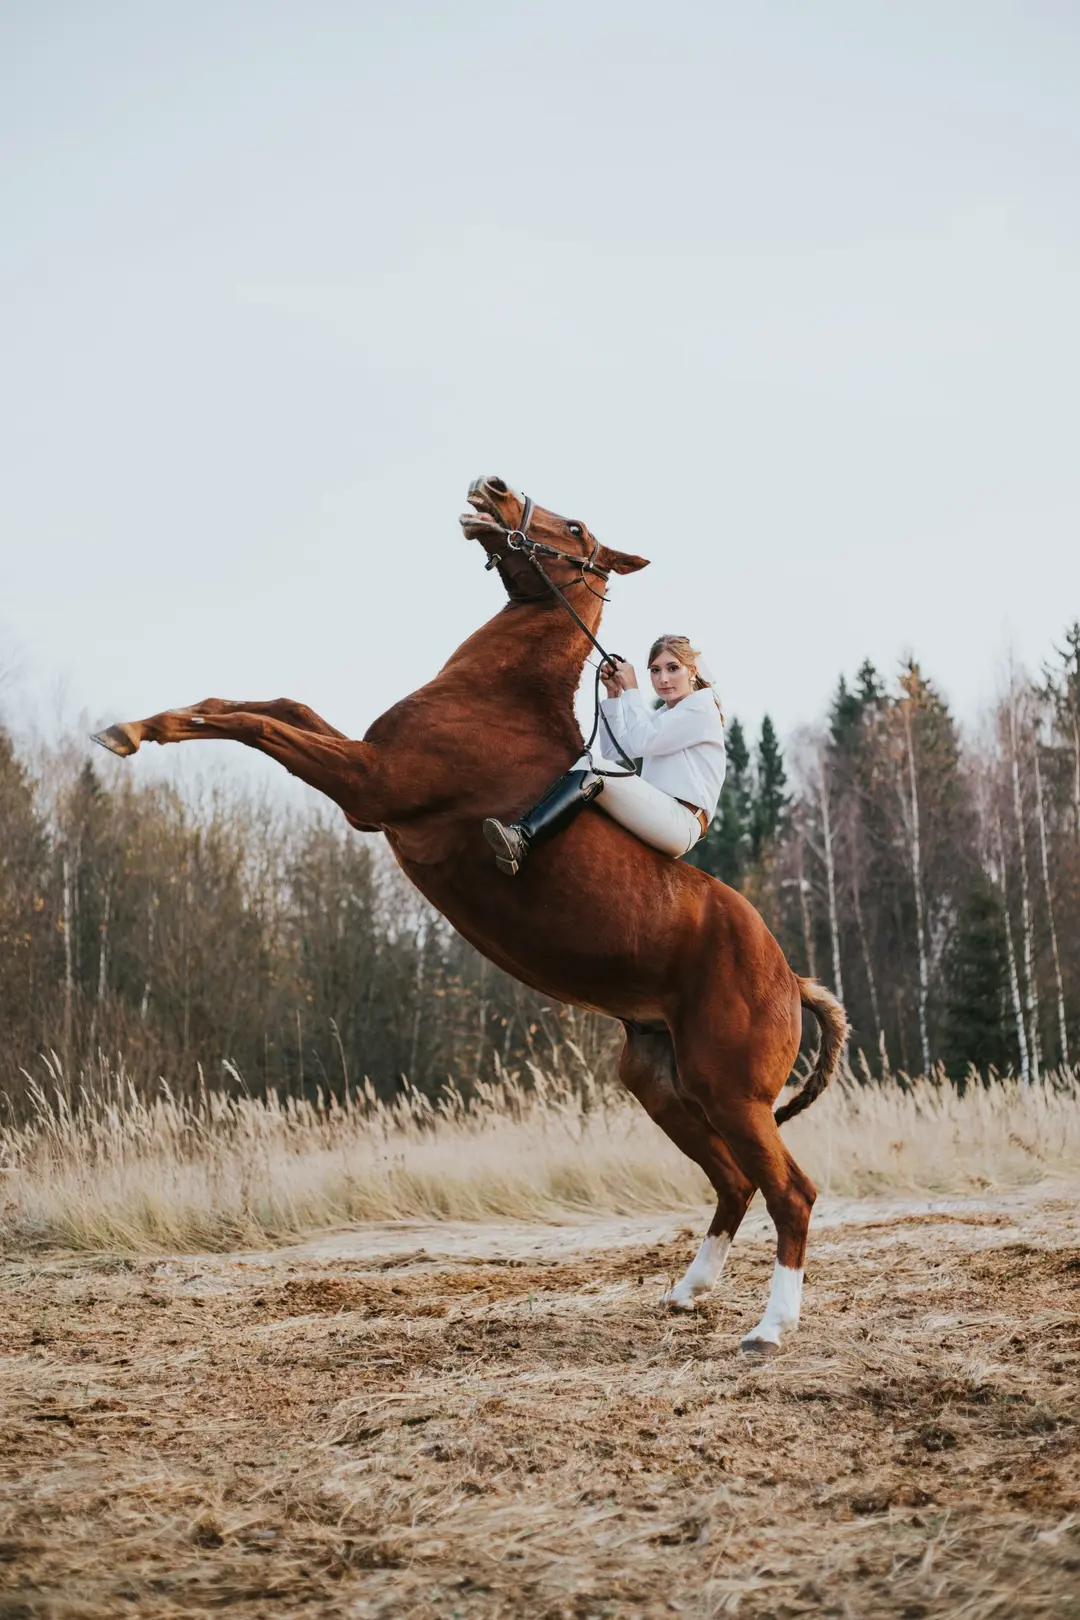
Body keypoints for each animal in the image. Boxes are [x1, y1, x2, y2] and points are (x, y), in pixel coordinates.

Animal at [93, 475, 848, 1354]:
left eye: (576, 526)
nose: (493, 486)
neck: (494, 695)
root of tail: (789, 976)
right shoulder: (363, 762)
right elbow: (269, 702)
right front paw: (138, 725)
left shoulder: (369, 784)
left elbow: (256, 722)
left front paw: (129, 733)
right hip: (665, 1085)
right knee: (733, 1184)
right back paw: (687, 1293)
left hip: (732, 1095)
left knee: (789, 1192)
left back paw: (770, 1328)